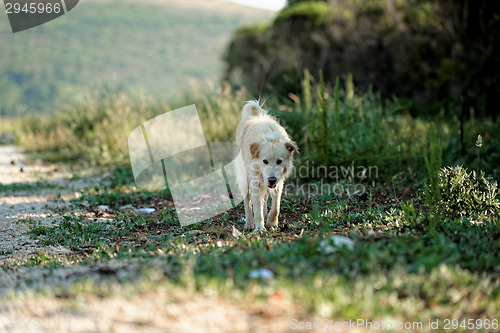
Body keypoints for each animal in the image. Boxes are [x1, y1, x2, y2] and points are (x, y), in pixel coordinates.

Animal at [234, 100, 296, 231]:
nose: (271, 179)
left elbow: (276, 206)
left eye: (279, 161)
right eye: (265, 161)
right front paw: (259, 229)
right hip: (244, 178)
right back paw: (249, 223)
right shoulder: (255, 182)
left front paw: (272, 222)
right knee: (247, 201)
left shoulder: (279, 182)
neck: (270, 138)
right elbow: (257, 209)